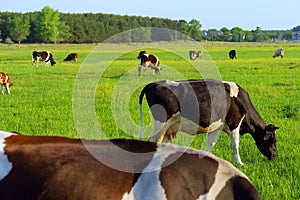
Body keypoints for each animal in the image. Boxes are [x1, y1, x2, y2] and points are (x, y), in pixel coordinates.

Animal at [139, 79, 280, 166]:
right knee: (151, 140)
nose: (275, 156)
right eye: (273, 139)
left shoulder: (216, 127)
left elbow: (211, 144)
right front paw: (240, 163)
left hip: (168, 127)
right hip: (160, 122)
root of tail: (153, 84)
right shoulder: (234, 123)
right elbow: (235, 144)